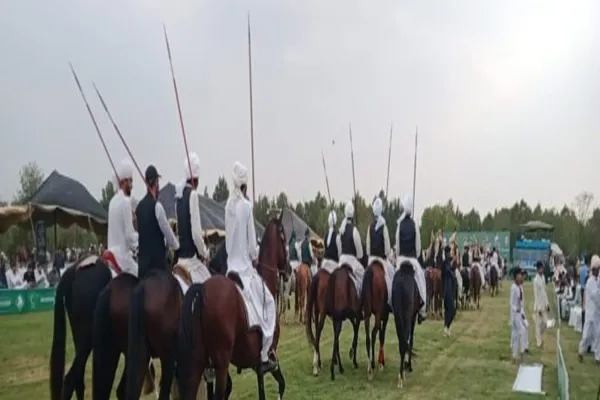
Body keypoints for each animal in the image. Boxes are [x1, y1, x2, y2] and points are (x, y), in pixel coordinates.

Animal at [176, 216, 288, 400]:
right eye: (283, 238)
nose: (289, 269)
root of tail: (203, 289)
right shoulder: (270, 359)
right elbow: (281, 385)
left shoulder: (257, 367)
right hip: (221, 364)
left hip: (198, 362)